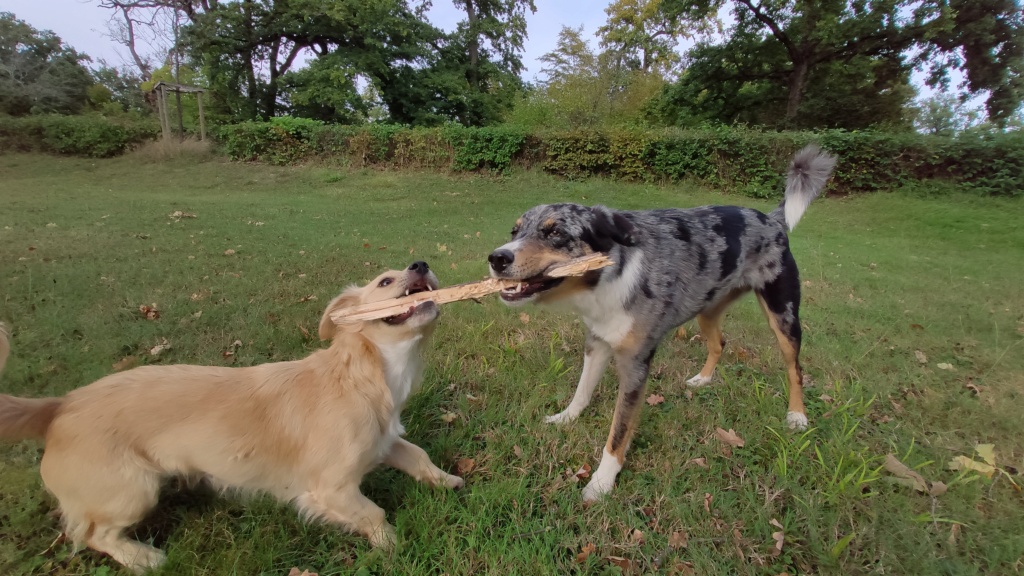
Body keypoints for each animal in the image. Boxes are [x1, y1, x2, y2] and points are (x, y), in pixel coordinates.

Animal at [0, 260, 460, 569]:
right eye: (384, 281)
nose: (421, 263)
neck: (365, 374)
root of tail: (62, 404)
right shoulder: (330, 488)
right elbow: (374, 514)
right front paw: (394, 545)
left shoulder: (385, 440)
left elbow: (418, 456)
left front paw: (448, 481)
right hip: (133, 490)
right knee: (93, 533)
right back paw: (142, 557)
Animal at [489, 143, 839, 498]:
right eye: (515, 231)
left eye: (556, 232)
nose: (497, 258)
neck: (611, 276)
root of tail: (771, 219)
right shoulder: (597, 342)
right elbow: (582, 390)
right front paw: (566, 418)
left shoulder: (635, 365)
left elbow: (619, 432)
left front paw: (602, 482)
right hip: (707, 309)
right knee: (719, 342)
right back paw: (703, 379)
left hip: (783, 314)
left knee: (795, 368)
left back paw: (797, 415)